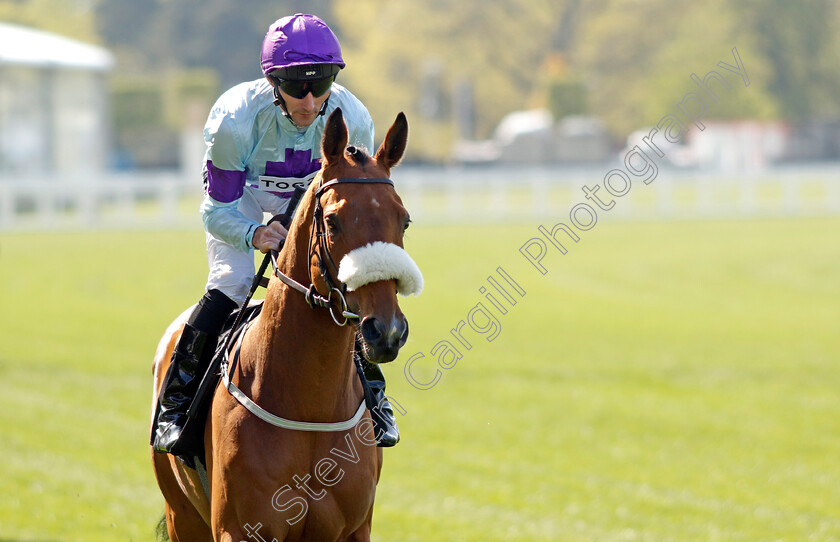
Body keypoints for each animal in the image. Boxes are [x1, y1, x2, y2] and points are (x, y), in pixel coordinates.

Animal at [149, 110, 420, 542]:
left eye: (404, 220)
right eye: (333, 220)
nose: (387, 331)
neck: (310, 407)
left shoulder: (354, 529)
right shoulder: (239, 529)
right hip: (183, 516)